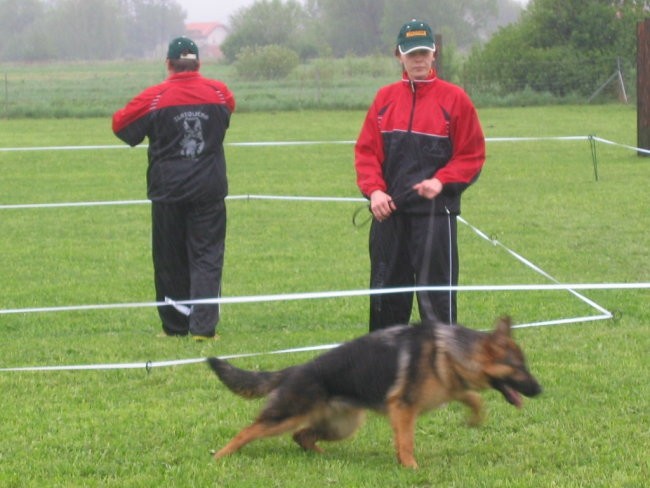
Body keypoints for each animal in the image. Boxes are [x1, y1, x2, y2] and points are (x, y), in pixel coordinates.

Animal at [205, 316, 540, 468]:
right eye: (519, 368)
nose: (540, 389)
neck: (453, 352)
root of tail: (296, 368)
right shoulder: (403, 408)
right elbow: (406, 442)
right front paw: (410, 468)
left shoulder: (449, 388)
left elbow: (473, 397)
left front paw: (474, 418)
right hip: (287, 415)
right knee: (249, 431)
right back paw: (221, 455)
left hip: (344, 425)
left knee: (302, 436)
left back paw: (325, 457)